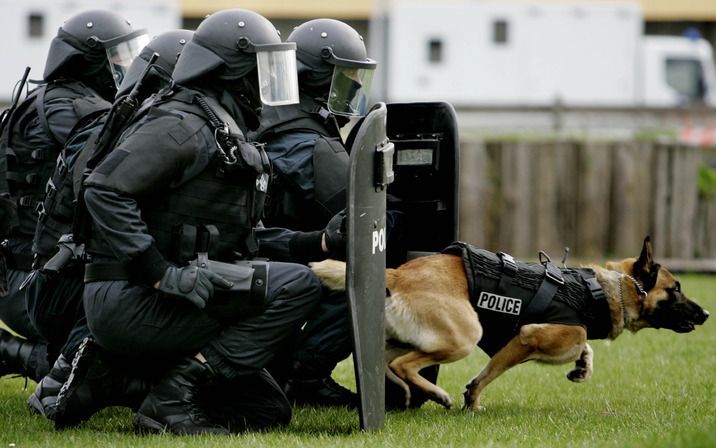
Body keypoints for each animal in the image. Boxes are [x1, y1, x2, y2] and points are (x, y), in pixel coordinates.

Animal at [310, 236, 708, 412]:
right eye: (676, 288)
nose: (706, 315)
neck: (601, 289)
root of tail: (397, 272)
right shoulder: (526, 337)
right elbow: (491, 373)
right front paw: (472, 400)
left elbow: (585, 348)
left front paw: (583, 367)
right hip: (465, 334)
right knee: (404, 364)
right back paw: (436, 394)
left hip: (405, 339)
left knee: (384, 362)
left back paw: (410, 392)